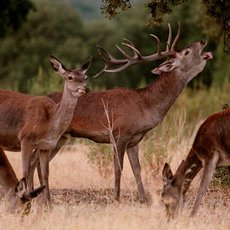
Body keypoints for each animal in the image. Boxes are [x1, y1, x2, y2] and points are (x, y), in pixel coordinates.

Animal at [0, 54, 91, 204]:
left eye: (85, 77)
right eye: (70, 77)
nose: (85, 88)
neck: (49, 123)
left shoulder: (46, 146)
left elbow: (45, 174)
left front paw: (48, 204)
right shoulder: (25, 138)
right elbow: (25, 171)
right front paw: (27, 199)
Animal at [30, 23, 212, 203]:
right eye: (186, 52)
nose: (203, 41)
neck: (145, 106)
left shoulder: (134, 140)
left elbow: (137, 169)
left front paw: (143, 200)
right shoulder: (119, 133)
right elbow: (118, 168)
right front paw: (117, 200)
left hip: (60, 138)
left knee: (36, 162)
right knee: (34, 161)